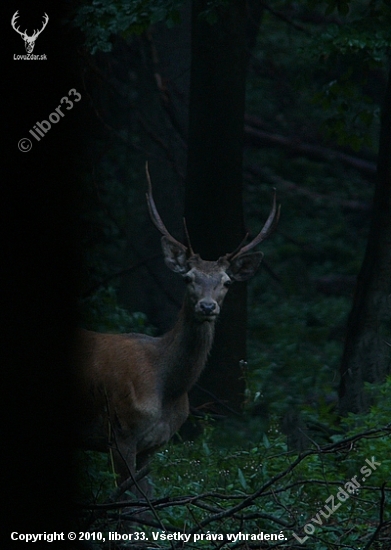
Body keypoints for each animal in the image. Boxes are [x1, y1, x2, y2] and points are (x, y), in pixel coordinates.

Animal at [78, 166, 280, 494]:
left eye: (227, 282)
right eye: (187, 278)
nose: (208, 307)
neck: (167, 390)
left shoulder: (155, 444)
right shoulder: (121, 433)